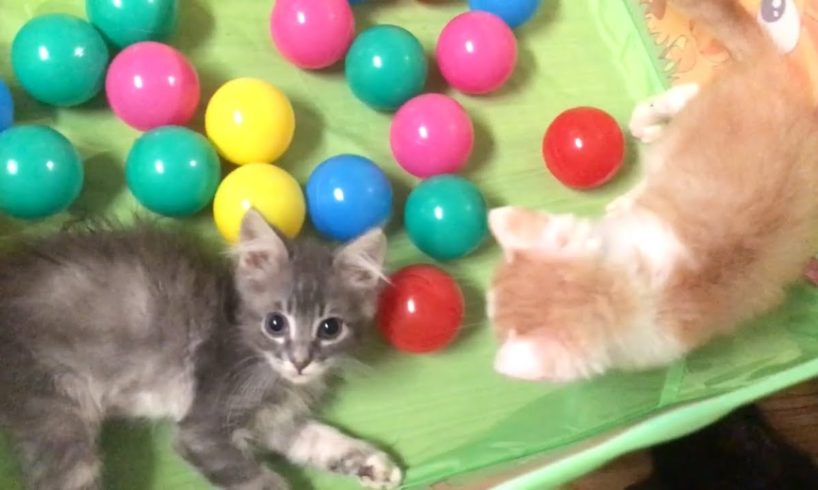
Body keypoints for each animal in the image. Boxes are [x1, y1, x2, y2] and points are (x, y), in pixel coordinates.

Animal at [0, 211, 402, 490]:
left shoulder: (273, 420)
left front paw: (369, 460)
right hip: (55, 409)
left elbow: (318, 436)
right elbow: (260, 480)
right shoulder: (205, 428)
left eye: (330, 328)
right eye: (275, 324)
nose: (300, 362)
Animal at [488, 0, 816, 382]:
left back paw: (644, 127)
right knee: (686, 96)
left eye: (492, 310)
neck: (617, 290)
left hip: (678, 141)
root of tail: (773, 66)